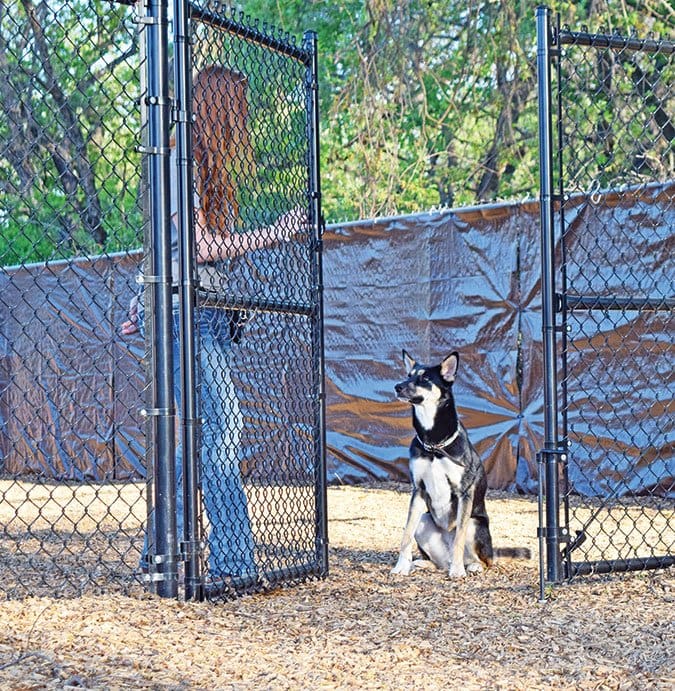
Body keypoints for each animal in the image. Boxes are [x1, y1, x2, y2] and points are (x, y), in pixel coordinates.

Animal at [390, 348, 508, 580]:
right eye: (409, 375)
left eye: (425, 378)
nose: (398, 386)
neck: (434, 444)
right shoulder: (418, 490)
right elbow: (406, 533)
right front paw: (401, 566)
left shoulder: (464, 493)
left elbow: (459, 538)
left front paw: (458, 571)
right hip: (424, 520)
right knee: (438, 561)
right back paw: (426, 563)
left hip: (474, 523)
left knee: (482, 559)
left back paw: (469, 566)